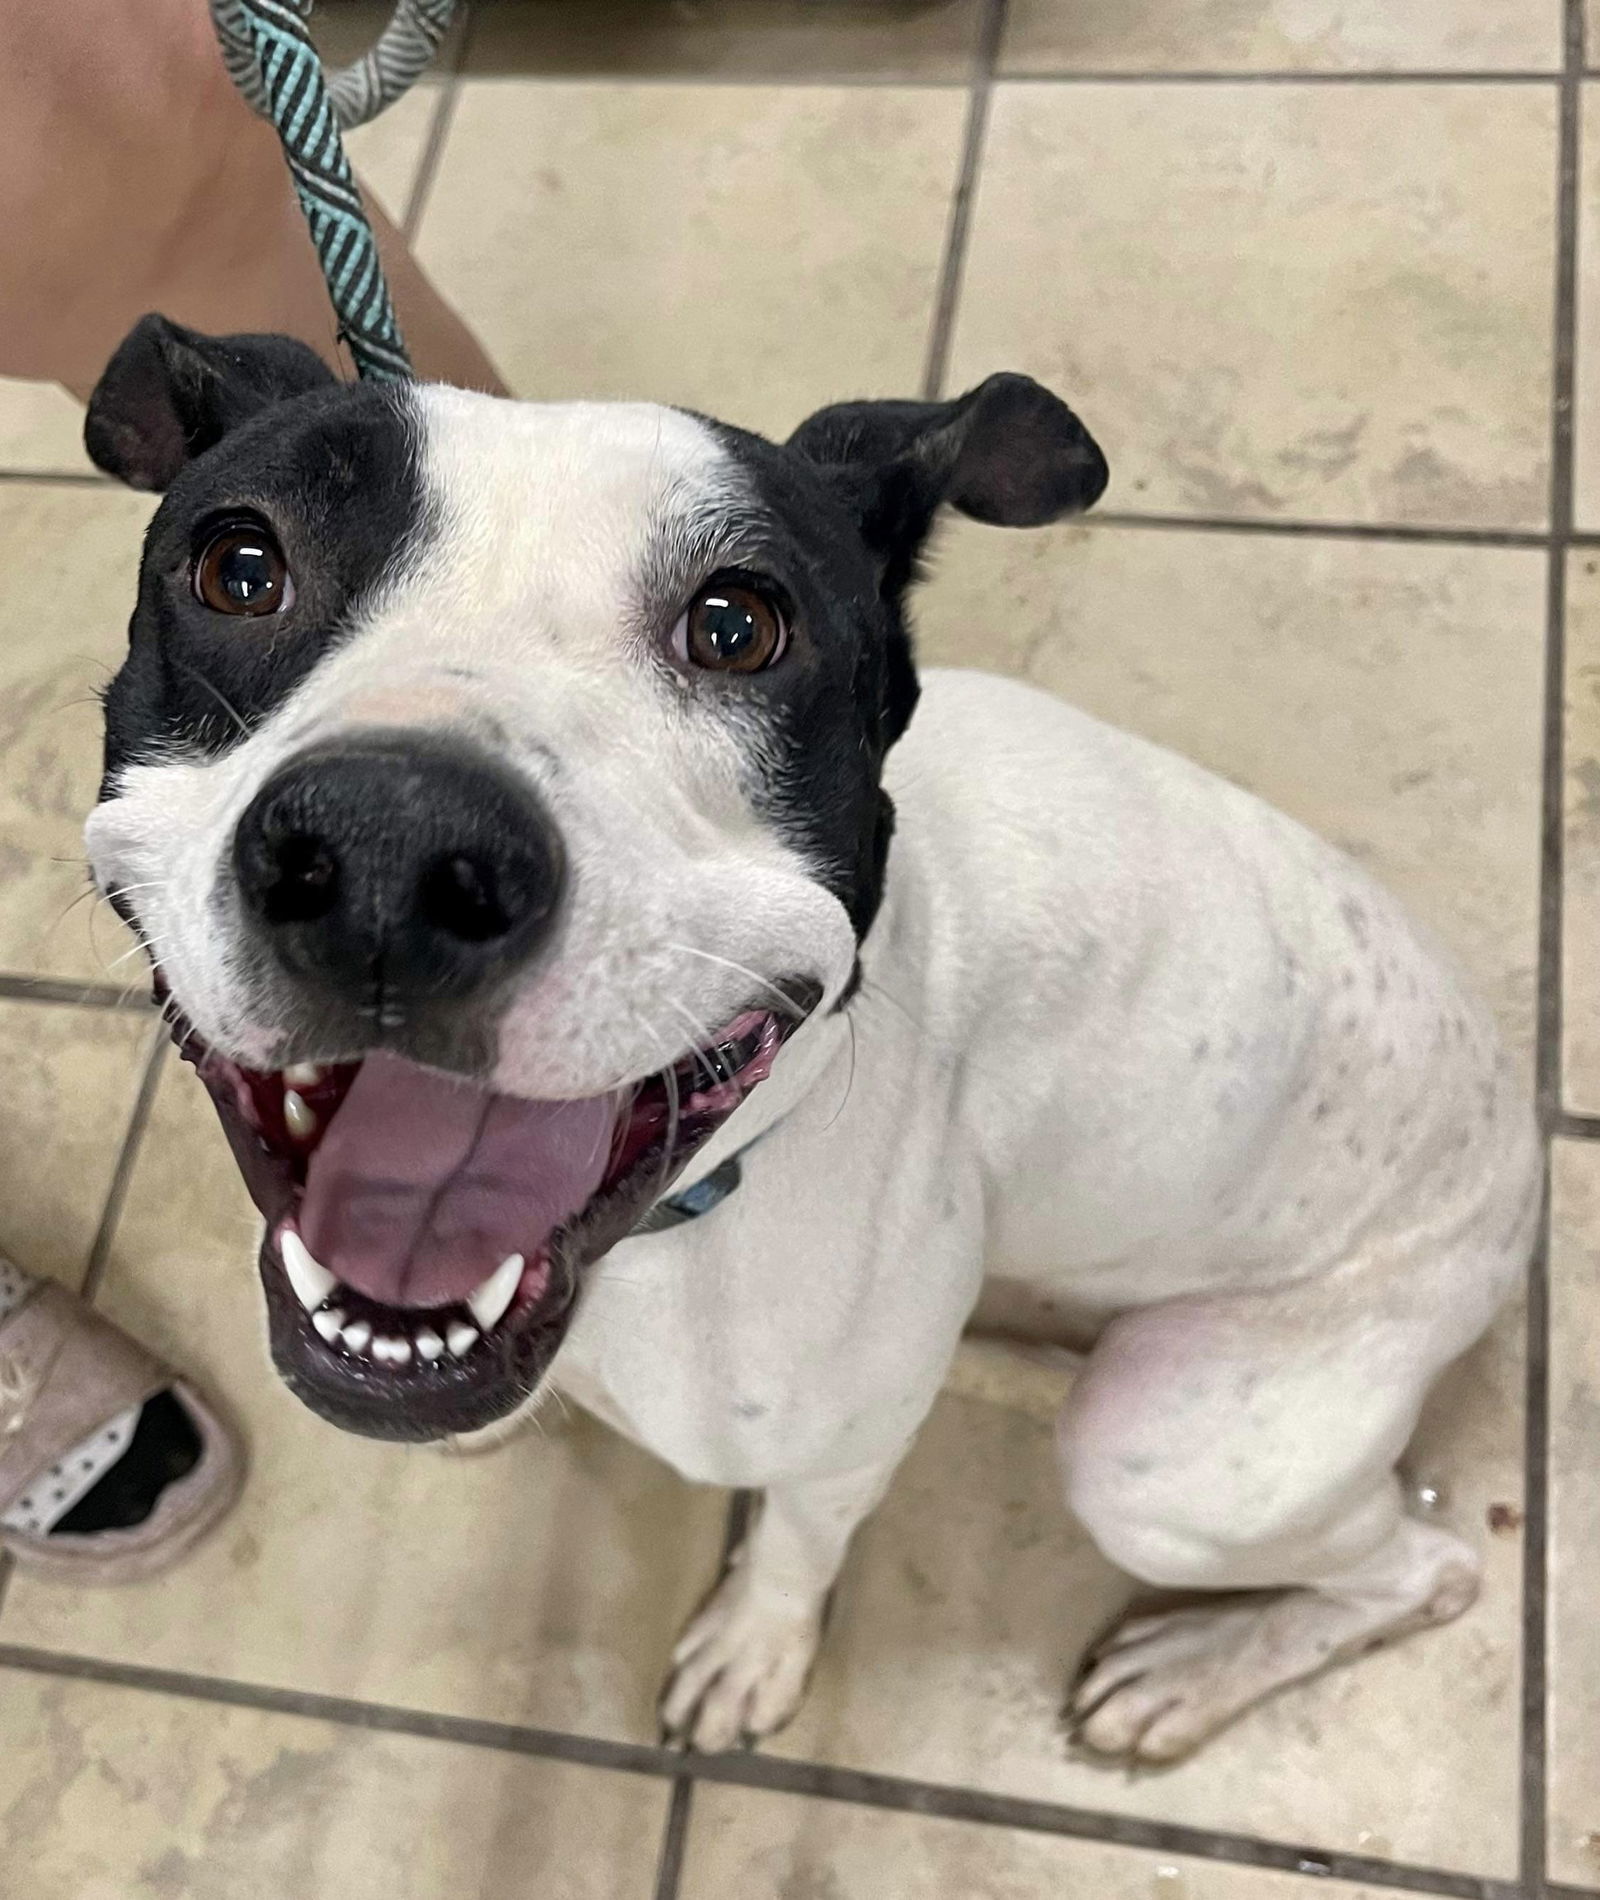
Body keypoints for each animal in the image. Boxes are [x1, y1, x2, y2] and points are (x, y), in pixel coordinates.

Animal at [84, 319, 1535, 1755]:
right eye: (240, 566)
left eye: (737, 625)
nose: (390, 855)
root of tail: (1519, 1147)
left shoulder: (835, 1454)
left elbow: (794, 1545)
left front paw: (754, 1648)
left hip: (1160, 1454)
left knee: (1428, 1567)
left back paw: (1191, 1670)